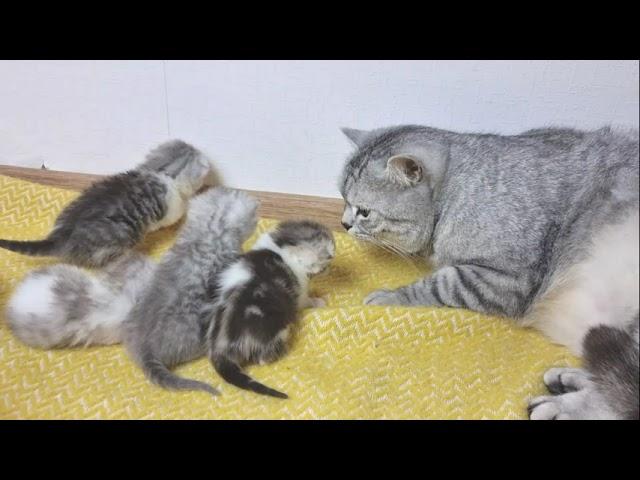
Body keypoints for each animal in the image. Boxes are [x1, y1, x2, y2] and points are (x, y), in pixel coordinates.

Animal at [208, 220, 336, 398]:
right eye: (325, 264)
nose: (330, 267)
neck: (279, 248)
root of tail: (221, 345)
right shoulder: (299, 292)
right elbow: (306, 300)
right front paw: (318, 301)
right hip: (277, 326)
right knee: (262, 359)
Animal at [338, 124, 636, 420]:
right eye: (343, 200)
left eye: (364, 211)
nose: (343, 224)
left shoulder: (506, 279)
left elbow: (440, 283)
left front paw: (390, 297)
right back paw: (571, 378)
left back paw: (560, 407)